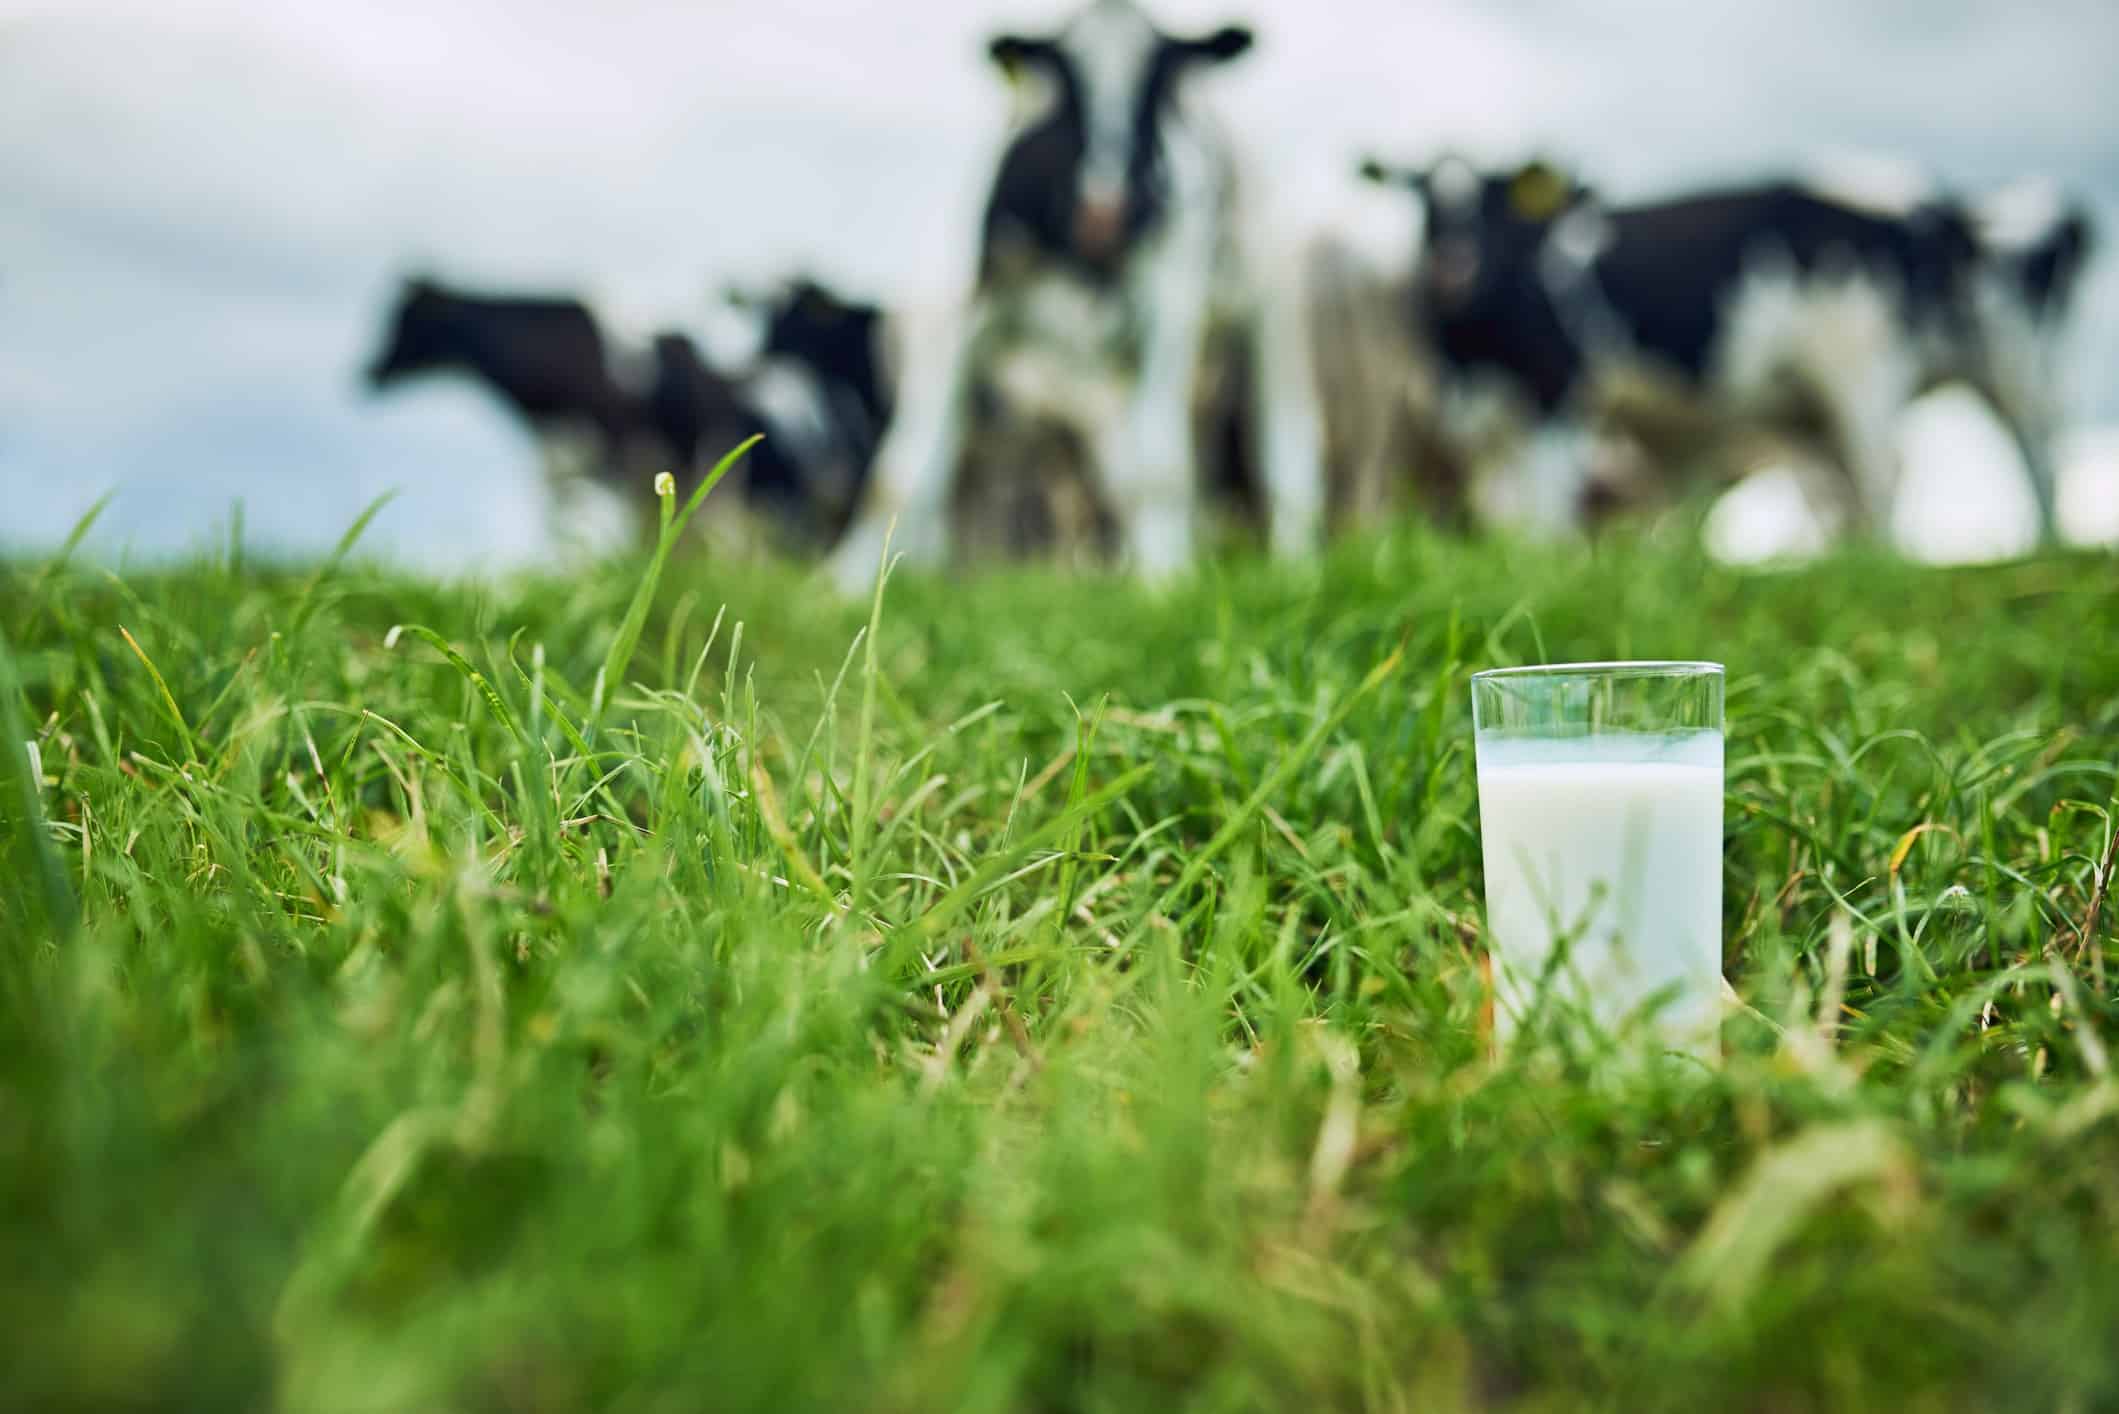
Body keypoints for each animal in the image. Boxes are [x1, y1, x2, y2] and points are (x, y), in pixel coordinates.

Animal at [826, 0, 1322, 593]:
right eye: (1065, 79)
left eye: (1159, 78)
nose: (1106, 212)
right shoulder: (957, 314)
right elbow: (900, 474)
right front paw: (843, 586)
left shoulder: (1170, 309)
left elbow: (1159, 467)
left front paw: (1166, 584)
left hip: (1274, 305)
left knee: (1286, 442)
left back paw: (1294, 567)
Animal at [1356, 157, 2085, 546]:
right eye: (1421, 200)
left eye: (1490, 200)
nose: (1451, 265)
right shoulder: (1485, 423)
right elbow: (1504, 511)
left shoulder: (1557, 394)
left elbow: (1544, 510)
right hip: (1818, 406)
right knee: (1851, 488)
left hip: (1901, 368)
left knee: (1970, 464)